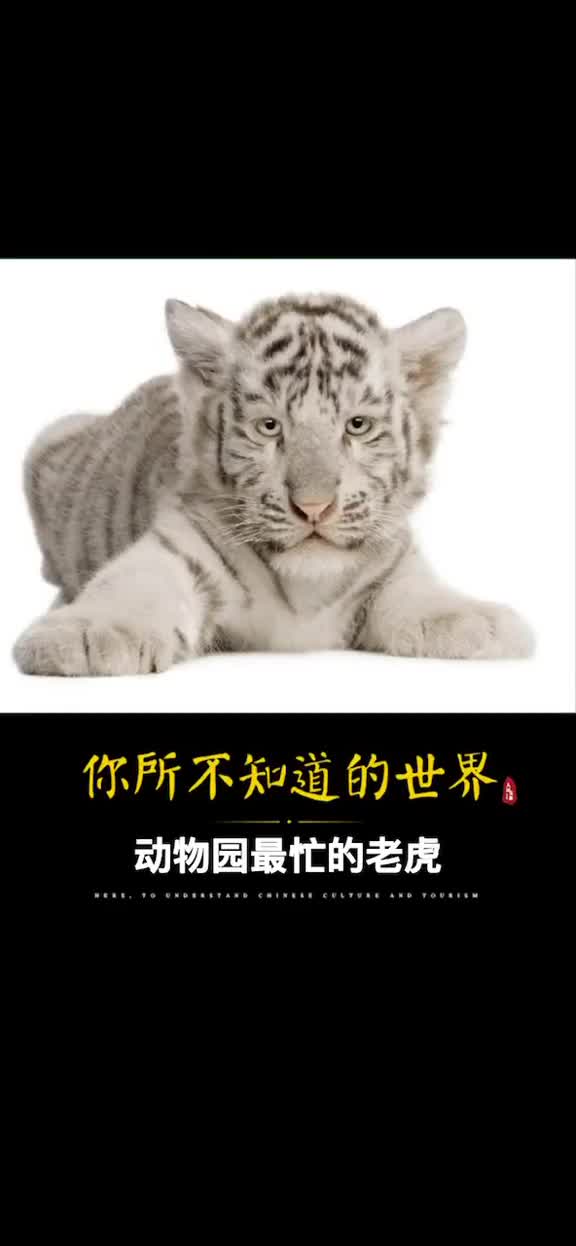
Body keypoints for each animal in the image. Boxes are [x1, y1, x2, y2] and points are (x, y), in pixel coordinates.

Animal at [13, 293, 534, 675]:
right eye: (269, 427)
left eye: (357, 425)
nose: (314, 508)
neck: (305, 590)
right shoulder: (179, 543)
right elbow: (136, 584)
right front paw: (85, 635)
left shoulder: (393, 561)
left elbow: (420, 592)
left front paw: (480, 622)